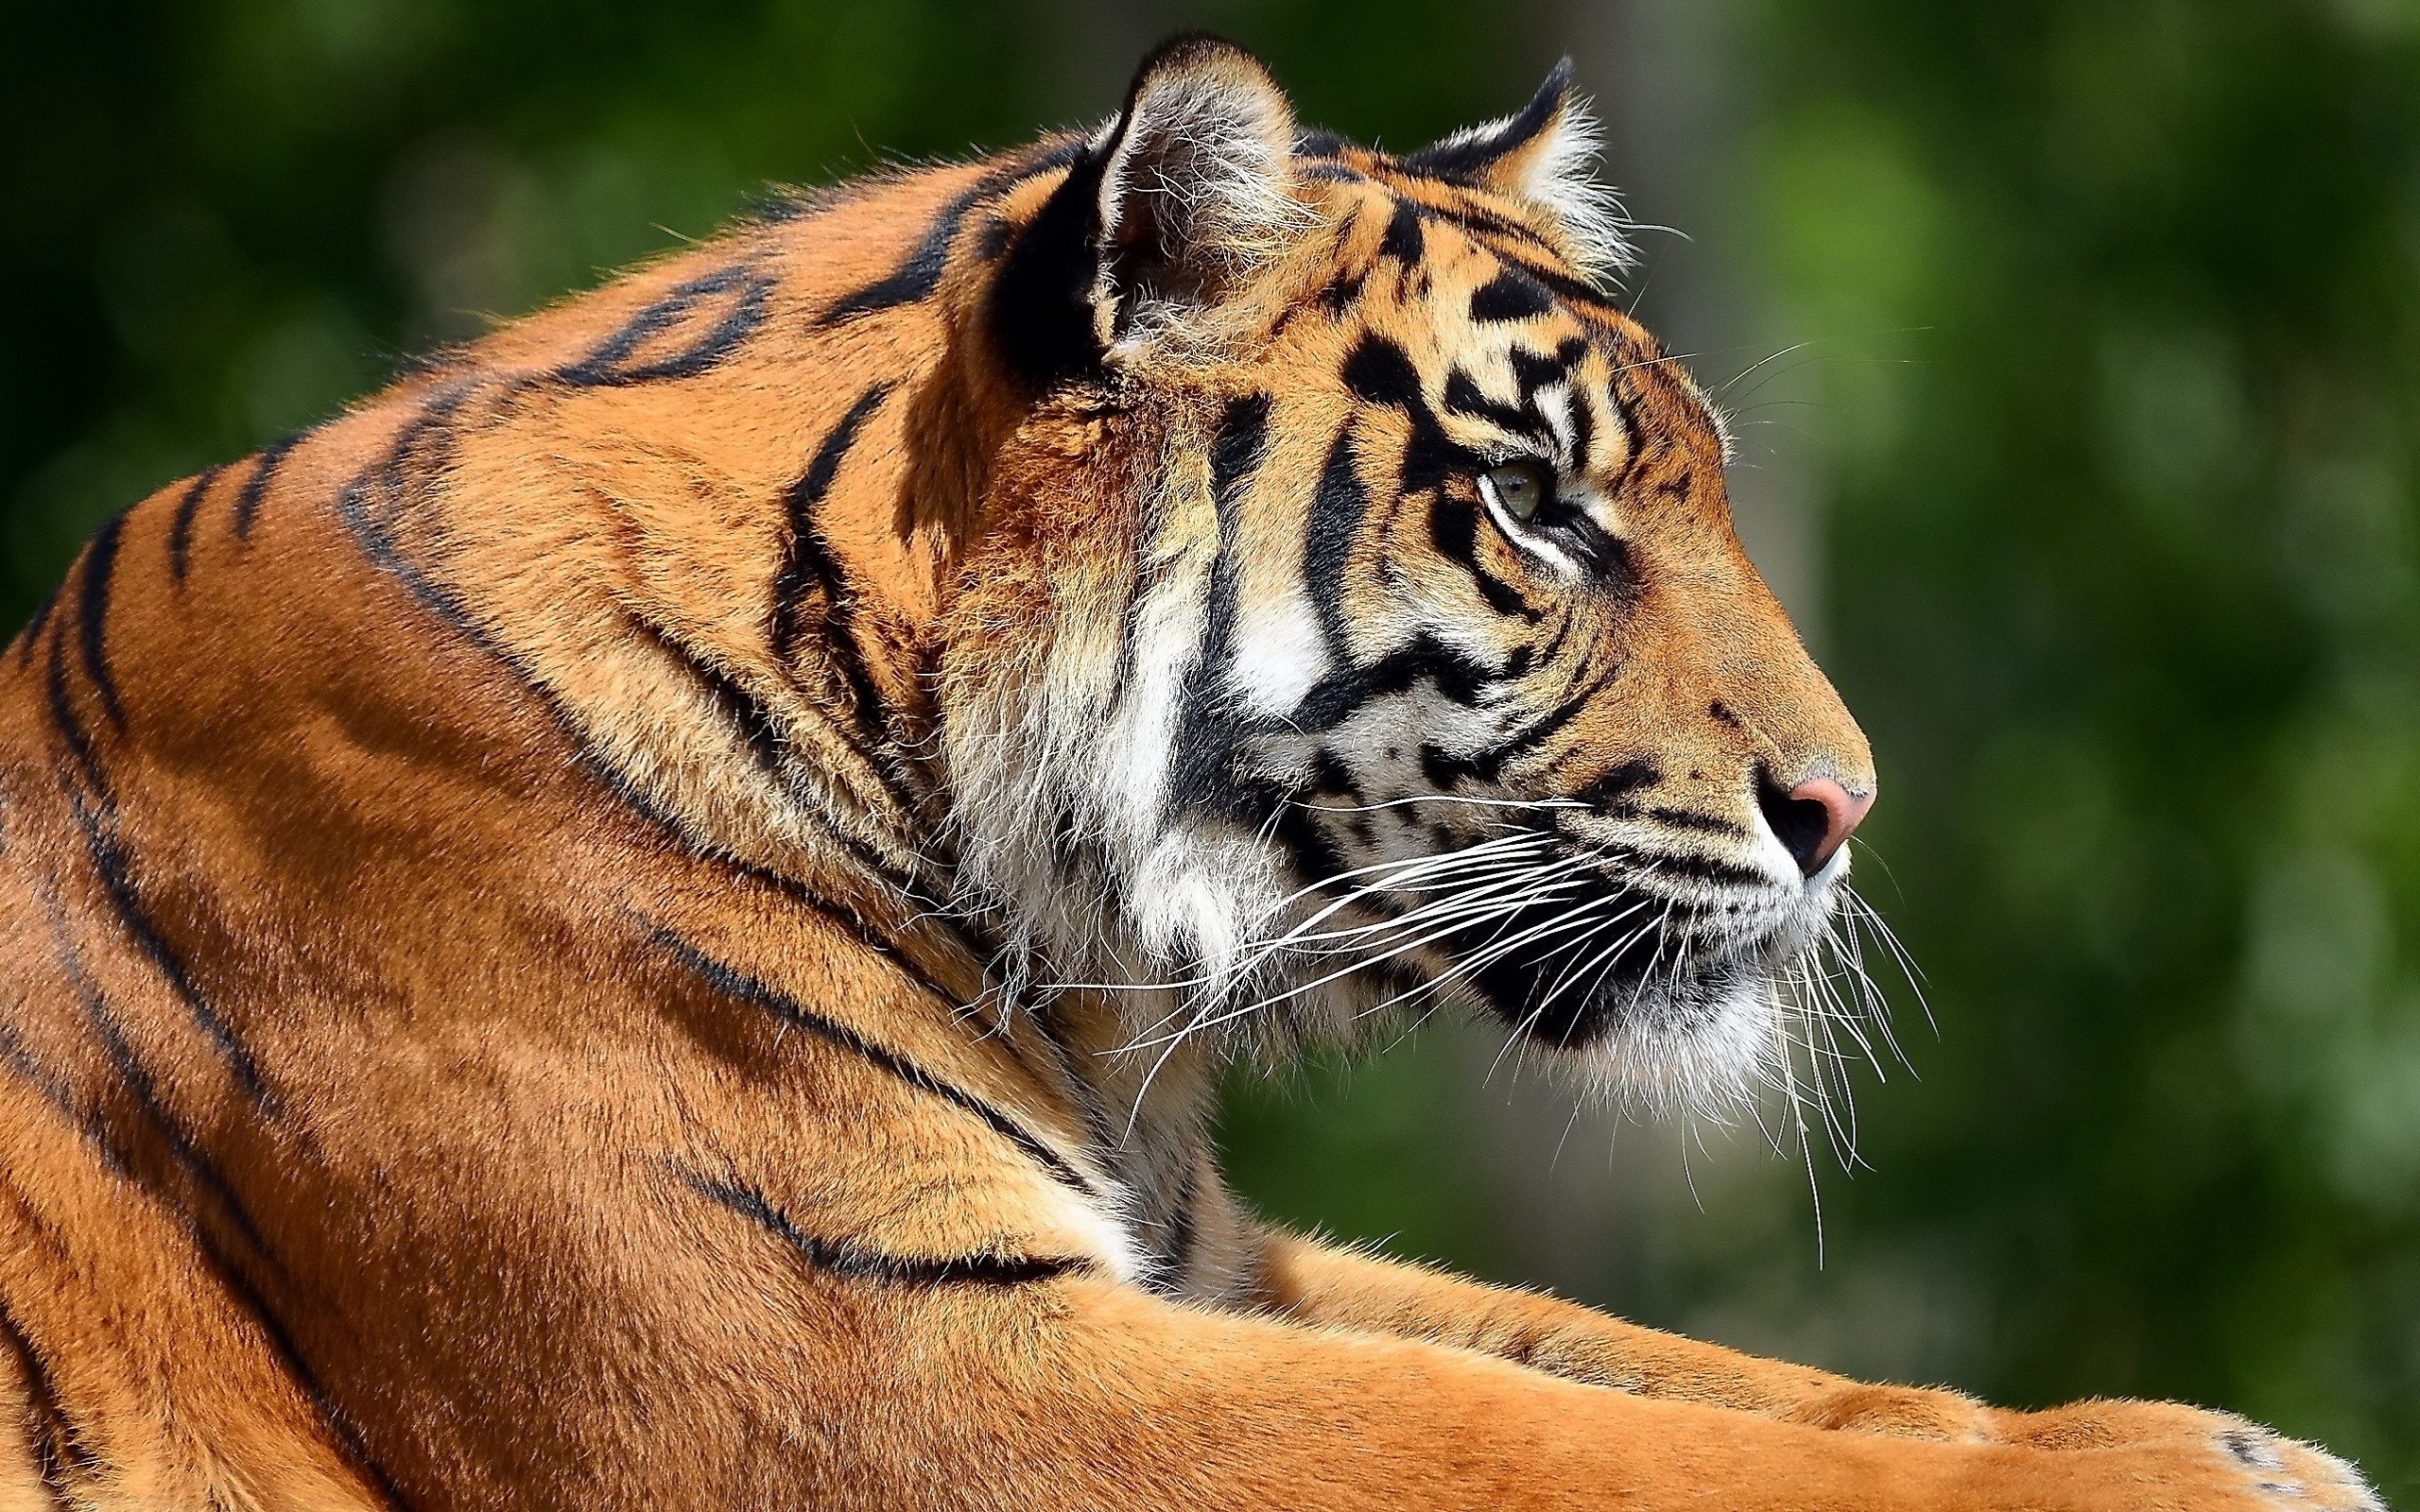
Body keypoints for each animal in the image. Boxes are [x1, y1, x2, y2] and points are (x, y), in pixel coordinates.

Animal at [0, 32, 2382, 1512]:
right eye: (1528, 500)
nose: (1841, 807)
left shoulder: (1200, 1265)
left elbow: (1695, 1376)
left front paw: (2209, 1436)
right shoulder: (880, 1371)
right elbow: (1569, 1448)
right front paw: (2188, 1474)